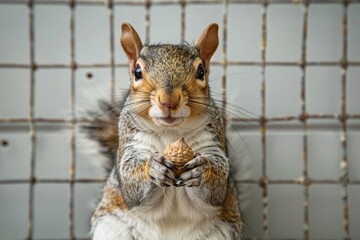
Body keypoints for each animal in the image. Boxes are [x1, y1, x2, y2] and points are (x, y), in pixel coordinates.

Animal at [82, 22, 243, 240]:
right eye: (137, 72)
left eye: (201, 71)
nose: (169, 100)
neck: (172, 133)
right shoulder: (131, 145)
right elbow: (131, 183)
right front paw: (153, 168)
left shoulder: (213, 142)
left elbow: (218, 187)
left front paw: (202, 170)